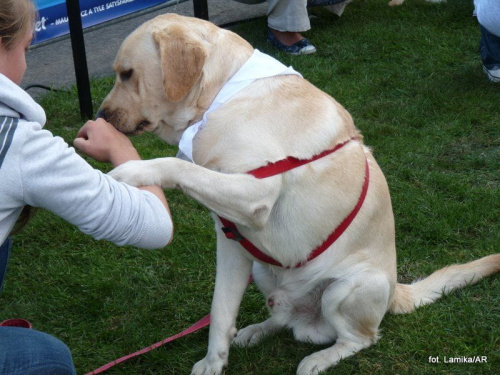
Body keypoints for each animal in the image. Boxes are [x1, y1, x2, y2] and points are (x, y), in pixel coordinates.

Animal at [101, 13, 500, 375]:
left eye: (127, 74)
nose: (102, 116)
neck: (222, 95)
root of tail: (395, 290)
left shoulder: (255, 191)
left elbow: (177, 165)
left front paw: (132, 171)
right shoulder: (230, 241)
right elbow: (220, 310)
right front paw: (213, 363)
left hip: (346, 288)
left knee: (360, 338)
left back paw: (319, 359)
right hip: (262, 269)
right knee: (282, 315)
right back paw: (256, 330)